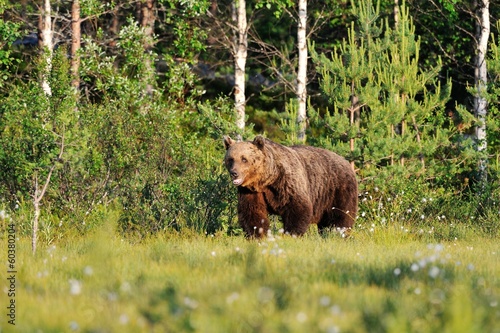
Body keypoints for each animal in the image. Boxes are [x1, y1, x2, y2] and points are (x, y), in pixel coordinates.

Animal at [225, 134, 358, 237]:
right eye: (231, 159)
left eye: (244, 159)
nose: (234, 173)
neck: (265, 180)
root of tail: (346, 161)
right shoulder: (251, 191)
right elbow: (252, 211)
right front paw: (257, 234)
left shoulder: (286, 182)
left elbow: (297, 208)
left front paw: (290, 234)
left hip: (337, 189)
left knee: (341, 215)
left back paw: (338, 234)